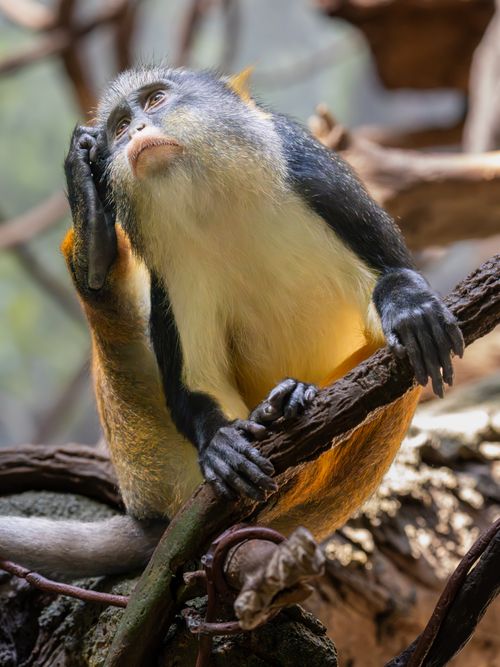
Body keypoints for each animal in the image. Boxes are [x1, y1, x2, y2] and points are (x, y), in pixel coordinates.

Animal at [0, 66, 463, 577]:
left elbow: (392, 277)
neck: (212, 203)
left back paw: (290, 408)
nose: (137, 130)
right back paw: (95, 247)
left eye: (155, 100)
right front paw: (220, 442)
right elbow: (197, 385)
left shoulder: (316, 175)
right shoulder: (171, 270)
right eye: (119, 128)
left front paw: (409, 307)